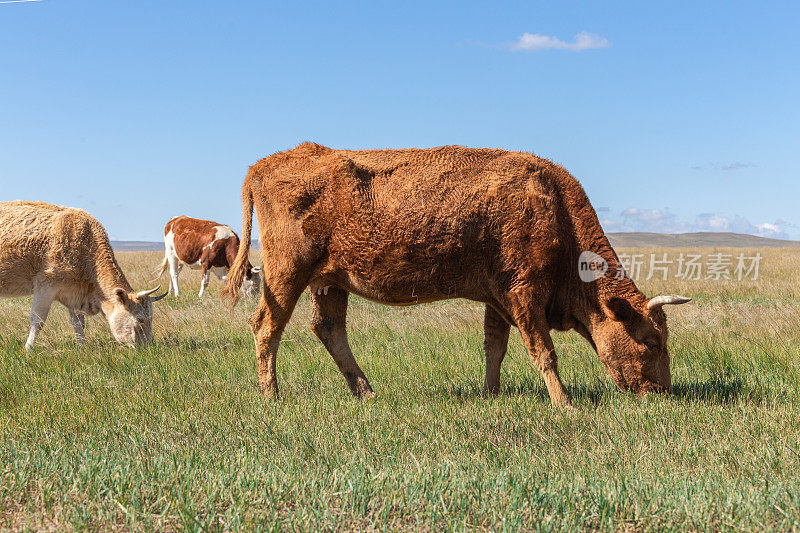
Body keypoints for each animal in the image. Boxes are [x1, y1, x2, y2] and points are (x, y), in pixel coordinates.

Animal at [0, 201, 166, 350]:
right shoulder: (46, 285)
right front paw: (28, 348)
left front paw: (83, 348)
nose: (147, 349)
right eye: (141, 320)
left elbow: (79, 323)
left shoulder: (74, 293)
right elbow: (38, 320)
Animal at [222, 143, 692, 406]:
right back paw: (272, 396)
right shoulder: (524, 295)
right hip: (287, 275)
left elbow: (494, 348)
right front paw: (564, 404)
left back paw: (366, 393)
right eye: (651, 341)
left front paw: (491, 395)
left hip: (330, 282)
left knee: (329, 330)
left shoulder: (498, 300)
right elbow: (544, 351)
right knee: (266, 327)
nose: (662, 394)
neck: (552, 206)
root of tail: (262, 165)